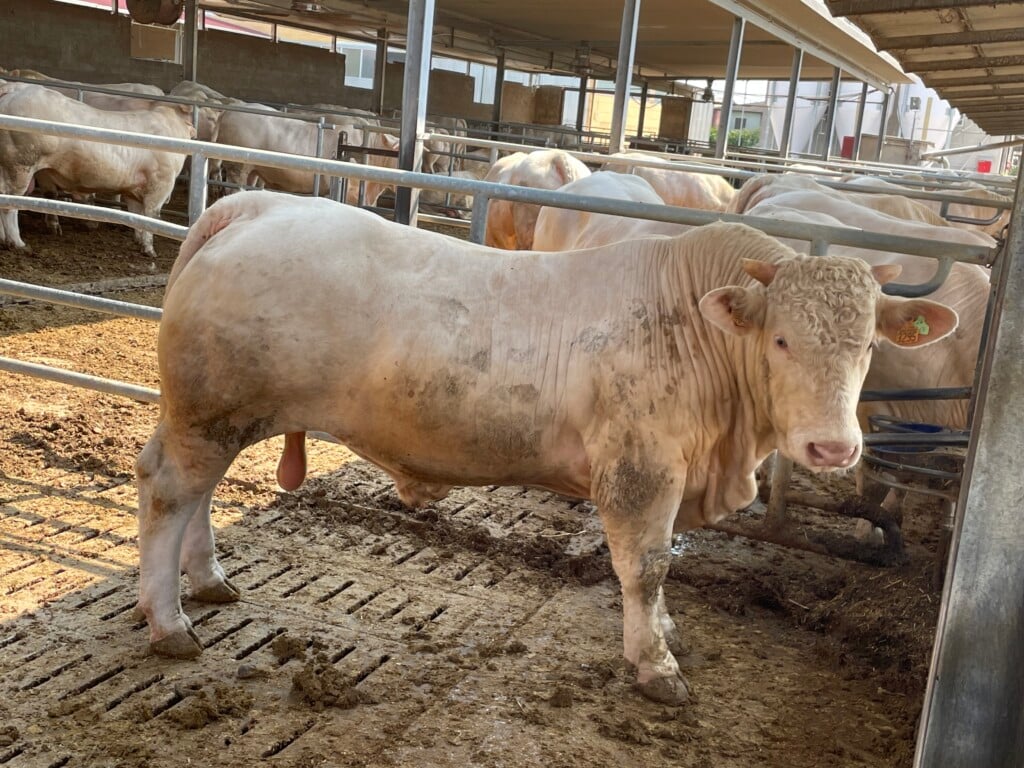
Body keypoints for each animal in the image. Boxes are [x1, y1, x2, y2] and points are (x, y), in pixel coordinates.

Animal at [0, 84, 193, 257]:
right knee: (11, 205)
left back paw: (4, 239)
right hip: (20, 167)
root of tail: (14, 89)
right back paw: (18, 243)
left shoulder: (135, 187)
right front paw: (149, 249)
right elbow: (151, 215)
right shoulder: (161, 183)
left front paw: (139, 241)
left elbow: (138, 215)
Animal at [135, 190, 957, 706]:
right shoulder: (639, 471)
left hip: (216, 414)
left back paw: (209, 581)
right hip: (212, 411)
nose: (833, 447)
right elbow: (647, 568)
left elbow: (663, 571)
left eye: (868, 345)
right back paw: (170, 623)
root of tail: (256, 205)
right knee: (170, 493)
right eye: (782, 339)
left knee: (190, 492)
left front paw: (664, 635)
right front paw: (655, 665)